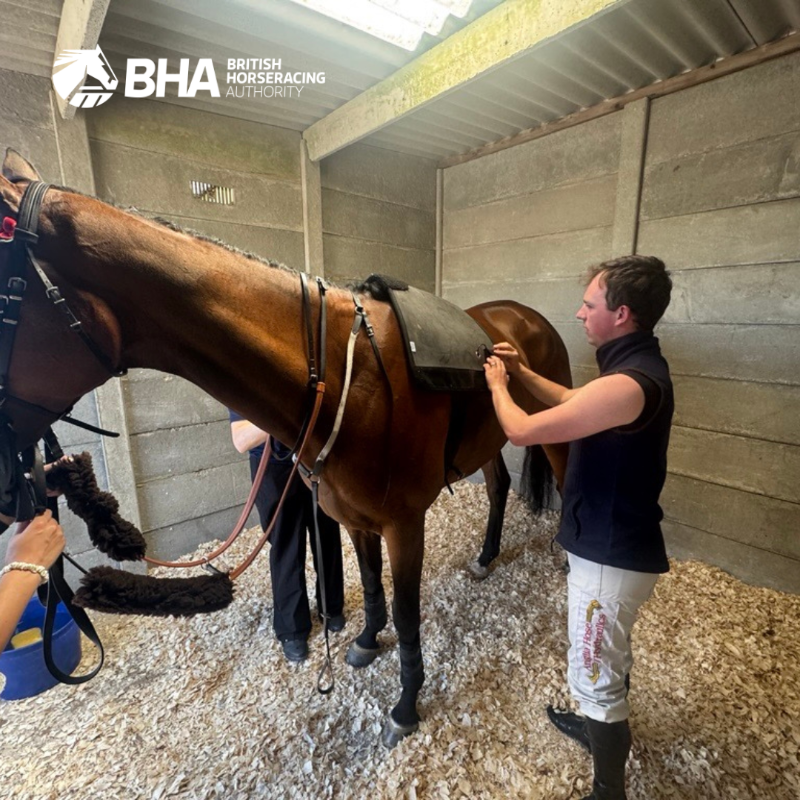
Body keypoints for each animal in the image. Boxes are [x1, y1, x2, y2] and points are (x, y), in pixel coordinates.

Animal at [0, 148, 571, 746]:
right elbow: (372, 589)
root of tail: (524, 317)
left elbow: (407, 616)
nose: (9, 485)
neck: (349, 377)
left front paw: (405, 707)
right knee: (500, 487)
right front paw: (364, 643)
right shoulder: (357, 522)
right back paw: (485, 558)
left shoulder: (404, 525)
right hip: (490, 441)